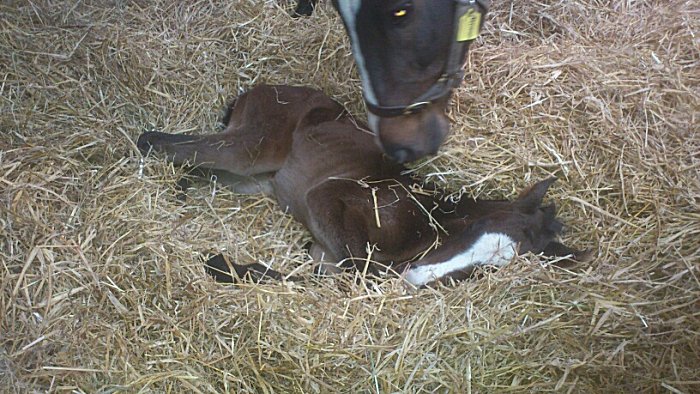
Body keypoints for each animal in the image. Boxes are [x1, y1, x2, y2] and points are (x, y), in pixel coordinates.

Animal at [137, 85, 584, 286]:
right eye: (475, 228)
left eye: (487, 271)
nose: (419, 277)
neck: (423, 221)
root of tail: (259, 89)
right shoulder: (326, 197)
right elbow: (359, 272)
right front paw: (221, 265)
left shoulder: (322, 250)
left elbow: (328, 273)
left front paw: (228, 266)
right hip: (252, 147)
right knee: (157, 142)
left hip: (256, 180)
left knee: (195, 164)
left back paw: (181, 191)